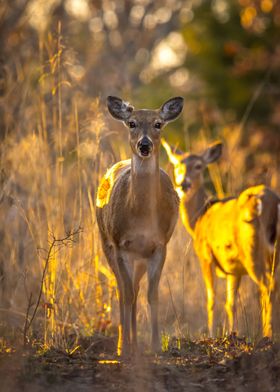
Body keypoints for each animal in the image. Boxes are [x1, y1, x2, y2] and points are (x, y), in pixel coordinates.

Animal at [96, 95, 184, 356]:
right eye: (132, 123)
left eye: (158, 124)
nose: (144, 145)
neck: (142, 218)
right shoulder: (120, 244)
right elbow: (125, 294)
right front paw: (124, 348)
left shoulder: (160, 245)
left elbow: (152, 294)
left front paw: (155, 345)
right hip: (106, 242)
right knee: (123, 289)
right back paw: (126, 343)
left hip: (140, 257)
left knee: (135, 289)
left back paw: (135, 342)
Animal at [162, 140, 280, 336]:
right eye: (177, 165)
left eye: (198, 166)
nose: (183, 184)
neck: (199, 219)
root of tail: (272, 202)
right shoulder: (234, 269)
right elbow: (230, 304)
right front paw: (231, 333)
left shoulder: (206, 256)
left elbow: (211, 299)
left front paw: (211, 333)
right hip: (272, 255)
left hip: (252, 251)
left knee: (268, 287)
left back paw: (268, 334)